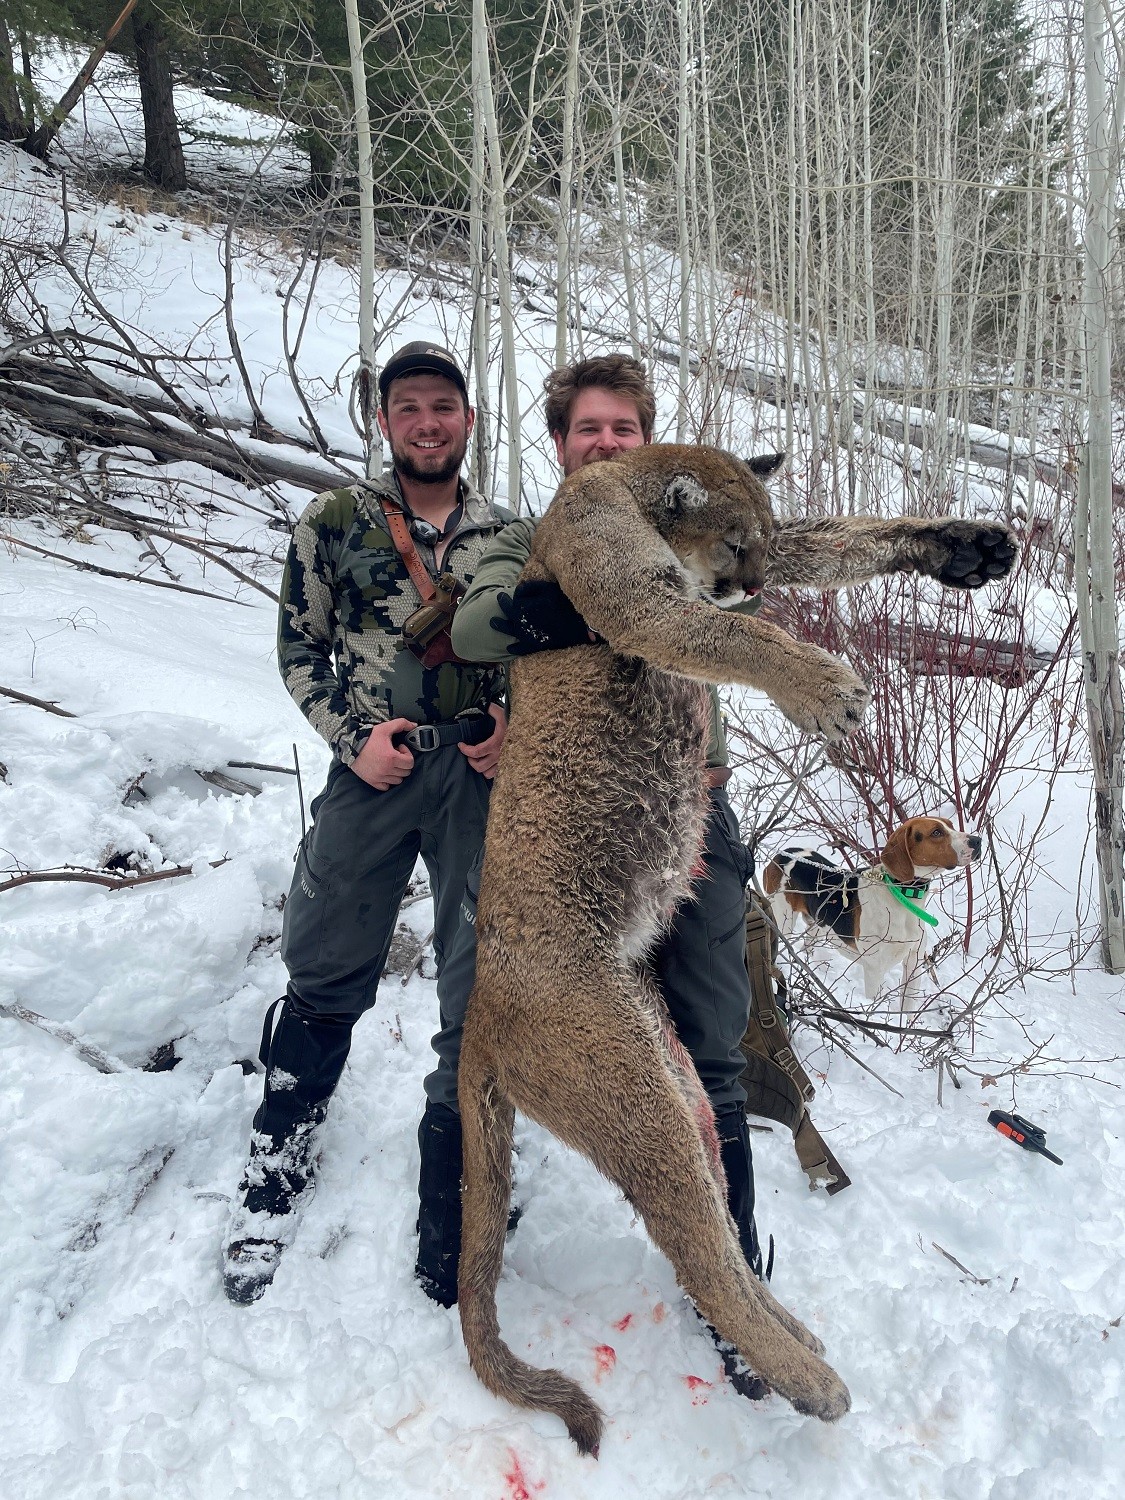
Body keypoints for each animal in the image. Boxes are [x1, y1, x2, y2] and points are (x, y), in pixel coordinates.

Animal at [456, 443, 1014, 1454]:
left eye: (759, 541)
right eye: (731, 543)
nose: (749, 581)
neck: (627, 481)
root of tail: (481, 1006)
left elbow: (829, 544)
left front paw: (959, 545)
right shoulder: (635, 595)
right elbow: (719, 633)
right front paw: (827, 690)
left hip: (669, 1074)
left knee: (718, 1223)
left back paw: (792, 1335)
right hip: (628, 1090)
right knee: (696, 1250)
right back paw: (811, 1383)